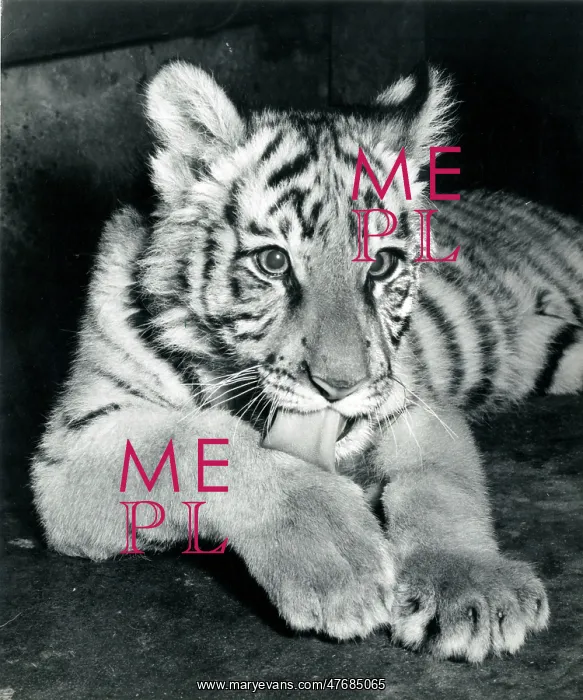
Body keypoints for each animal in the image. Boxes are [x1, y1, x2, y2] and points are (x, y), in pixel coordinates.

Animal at [31, 61, 583, 663]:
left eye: (382, 264)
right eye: (273, 262)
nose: (341, 384)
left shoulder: (416, 404)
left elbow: (440, 486)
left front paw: (471, 587)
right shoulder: (72, 450)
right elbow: (203, 441)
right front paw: (339, 562)